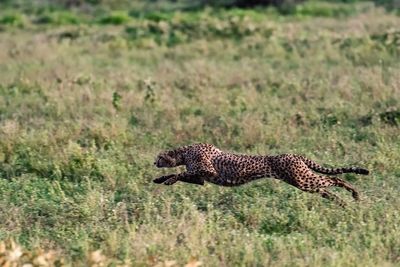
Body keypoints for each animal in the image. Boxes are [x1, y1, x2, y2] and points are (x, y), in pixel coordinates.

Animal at [152, 143, 368, 206]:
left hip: (302, 179)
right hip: (304, 182)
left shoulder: (206, 171)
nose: (154, 162)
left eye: (158, 157)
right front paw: (160, 179)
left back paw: (355, 194)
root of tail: (295, 154)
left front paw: (168, 180)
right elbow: (183, 174)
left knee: (334, 179)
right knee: (327, 189)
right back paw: (343, 203)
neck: (184, 152)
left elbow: (181, 173)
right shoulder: (200, 179)